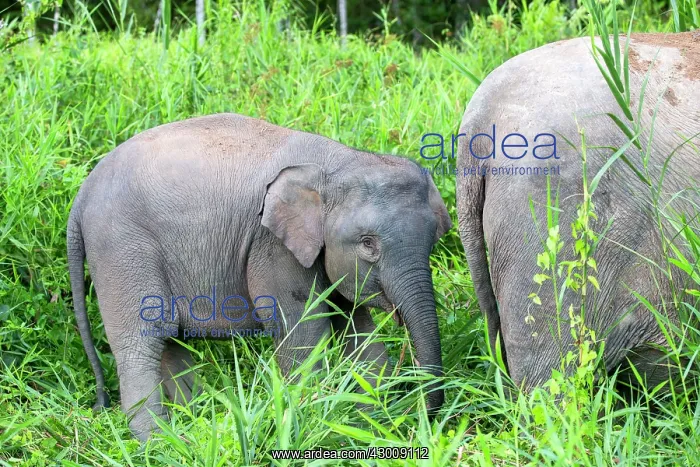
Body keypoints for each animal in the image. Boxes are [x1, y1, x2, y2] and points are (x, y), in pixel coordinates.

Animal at [67, 113, 451, 440]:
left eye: (433, 239)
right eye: (368, 243)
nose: (425, 420)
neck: (338, 162)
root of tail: (81, 196)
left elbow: (356, 327)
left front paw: (370, 417)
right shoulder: (270, 244)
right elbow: (303, 329)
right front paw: (319, 417)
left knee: (168, 343)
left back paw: (193, 425)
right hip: (122, 249)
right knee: (142, 343)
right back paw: (157, 444)